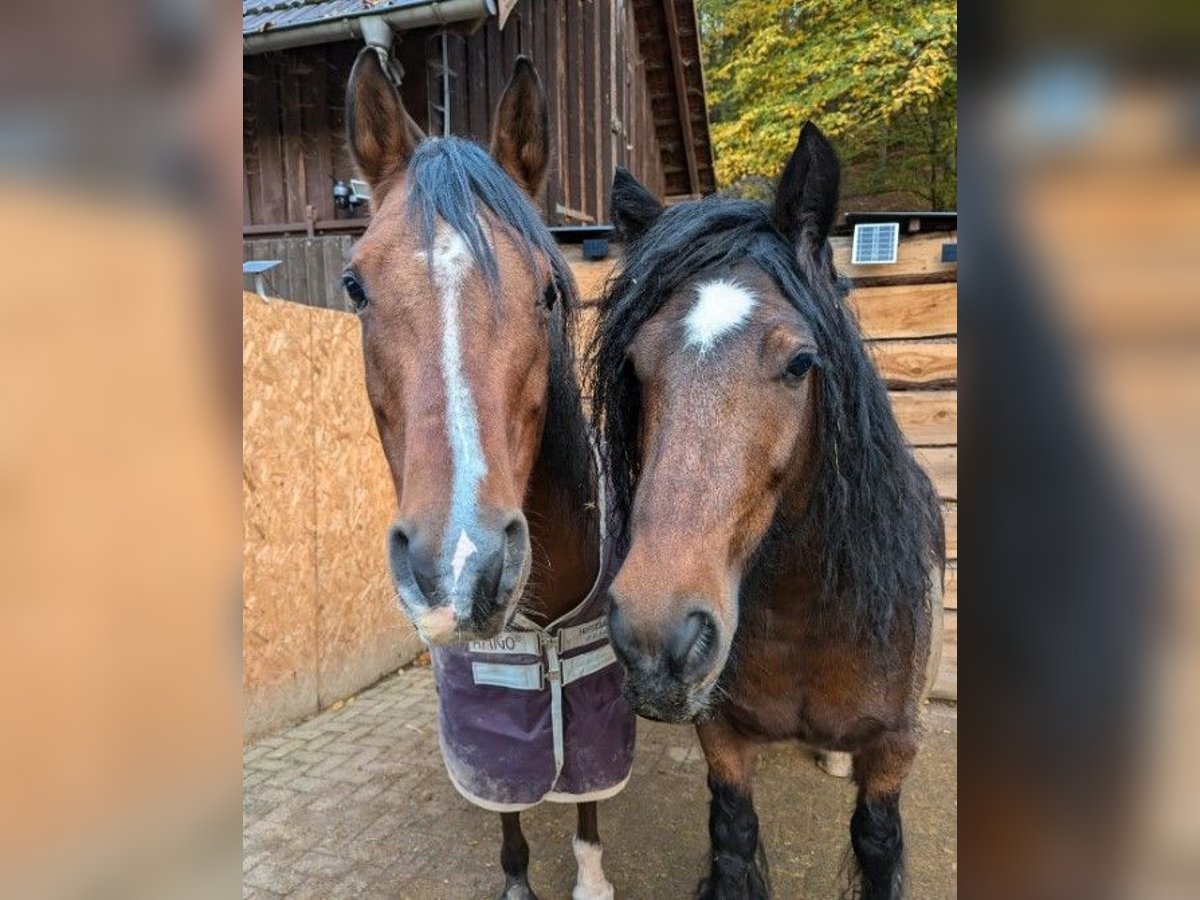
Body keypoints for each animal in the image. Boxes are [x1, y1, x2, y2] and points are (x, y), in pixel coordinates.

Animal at [343, 49, 628, 900]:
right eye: (355, 287)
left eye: (549, 289)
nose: (462, 569)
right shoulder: (487, 706)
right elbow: (505, 799)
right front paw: (517, 880)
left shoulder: (591, 685)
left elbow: (587, 793)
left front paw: (591, 877)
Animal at [590, 121, 945, 900]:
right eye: (634, 365)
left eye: (801, 363)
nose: (657, 639)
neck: (806, 614)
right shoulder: (720, 738)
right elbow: (734, 837)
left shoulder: (895, 754)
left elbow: (877, 845)